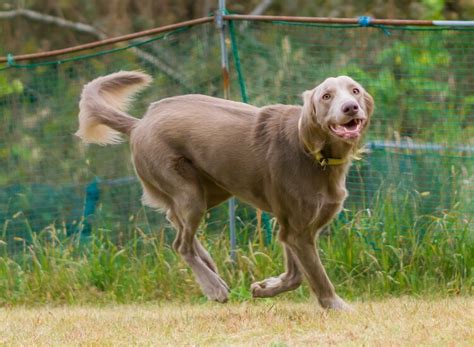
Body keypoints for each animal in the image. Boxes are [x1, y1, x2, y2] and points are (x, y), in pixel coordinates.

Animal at [77, 72, 374, 312]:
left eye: (355, 90)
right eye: (326, 96)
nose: (350, 107)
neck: (314, 153)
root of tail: (138, 123)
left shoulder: (293, 227)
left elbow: (295, 275)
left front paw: (265, 288)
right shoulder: (298, 231)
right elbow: (316, 275)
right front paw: (337, 306)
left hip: (212, 190)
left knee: (177, 223)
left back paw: (210, 265)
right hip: (190, 193)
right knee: (180, 244)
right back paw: (214, 287)